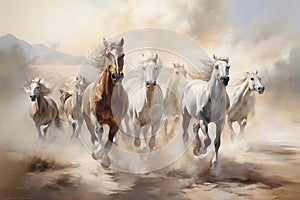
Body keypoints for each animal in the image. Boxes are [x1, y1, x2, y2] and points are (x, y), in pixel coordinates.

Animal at [81, 37, 127, 166]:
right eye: (107, 54)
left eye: (123, 55)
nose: (117, 76)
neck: (108, 96)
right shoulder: (94, 116)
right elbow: (99, 130)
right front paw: (97, 153)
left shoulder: (116, 122)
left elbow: (109, 142)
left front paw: (105, 159)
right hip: (86, 118)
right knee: (93, 135)